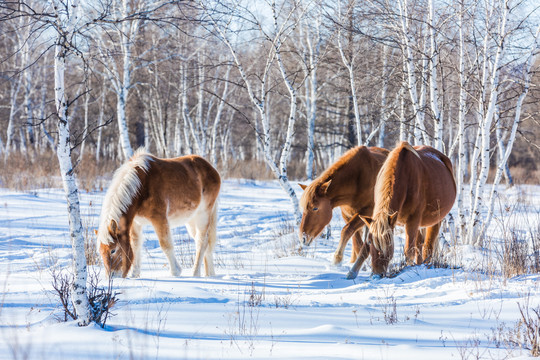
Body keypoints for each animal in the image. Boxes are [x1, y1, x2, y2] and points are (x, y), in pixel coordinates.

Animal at [97, 149, 221, 278]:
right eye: (100, 252)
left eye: (113, 250)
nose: (111, 276)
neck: (141, 186)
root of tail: (210, 168)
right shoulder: (135, 223)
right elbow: (135, 245)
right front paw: (135, 274)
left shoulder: (159, 218)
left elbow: (165, 244)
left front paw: (175, 272)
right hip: (191, 220)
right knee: (203, 241)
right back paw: (210, 275)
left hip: (203, 214)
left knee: (202, 242)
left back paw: (195, 273)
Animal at [346, 141, 456, 278]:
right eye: (371, 242)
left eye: (388, 243)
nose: (377, 274)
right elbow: (364, 247)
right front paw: (352, 272)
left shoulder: (412, 220)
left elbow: (409, 250)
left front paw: (407, 271)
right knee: (419, 246)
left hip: (435, 220)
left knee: (427, 247)